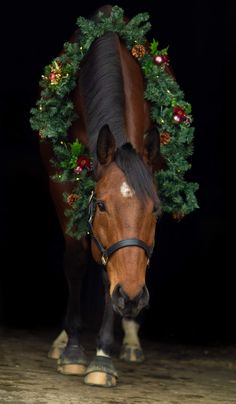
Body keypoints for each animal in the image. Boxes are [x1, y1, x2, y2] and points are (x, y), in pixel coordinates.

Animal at [35, 3, 165, 388]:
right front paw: (75, 350)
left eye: (156, 210)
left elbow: (112, 269)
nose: (132, 296)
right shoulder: (60, 183)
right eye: (103, 205)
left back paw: (131, 340)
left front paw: (103, 355)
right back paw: (63, 339)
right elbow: (78, 258)